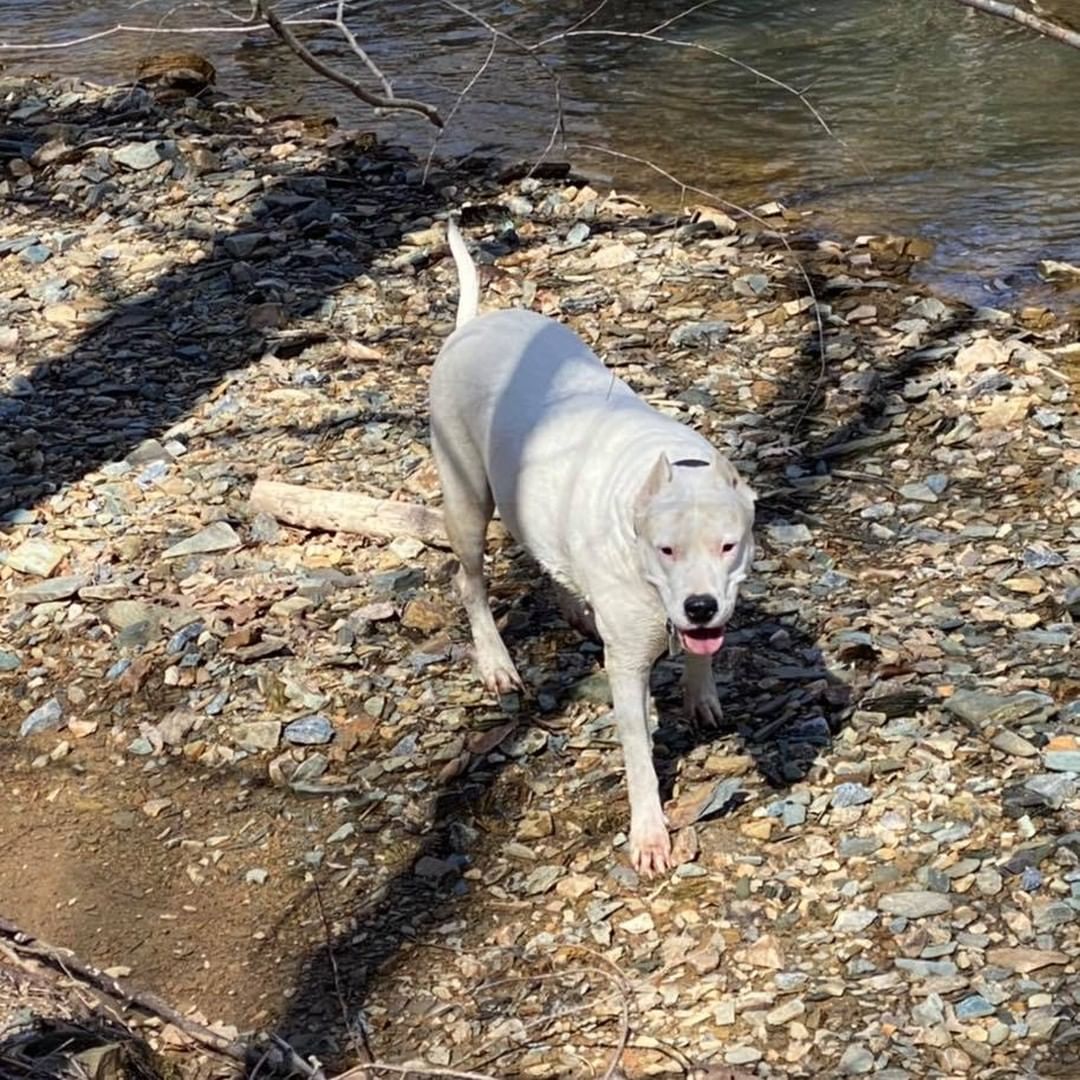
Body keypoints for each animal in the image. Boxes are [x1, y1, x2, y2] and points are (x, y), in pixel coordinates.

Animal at [425, 219, 756, 876]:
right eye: (666, 550)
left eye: (728, 545)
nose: (700, 606)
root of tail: (472, 326)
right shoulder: (625, 665)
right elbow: (638, 756)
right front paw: (650, 835)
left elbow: (701, 657)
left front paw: (701, 693)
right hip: (465, 496)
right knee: (469, 581)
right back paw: (497, 662)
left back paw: (575, 608)